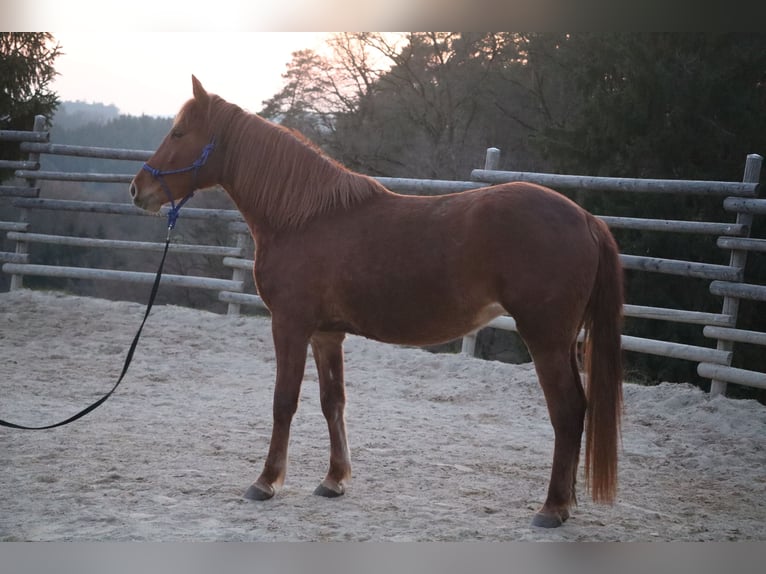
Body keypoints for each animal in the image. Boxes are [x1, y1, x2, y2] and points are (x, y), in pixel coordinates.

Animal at [129, 75, 624, 528]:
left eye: (179, 133)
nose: (138, 190)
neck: (303, 218)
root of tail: (586, 218)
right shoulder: (326, 334)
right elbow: (333, 401)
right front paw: (334, 480)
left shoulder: (289, 325)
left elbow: (284, 402)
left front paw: (266, 482)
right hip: (561, 341)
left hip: (544, 338)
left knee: (567, 411)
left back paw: (552, 508)